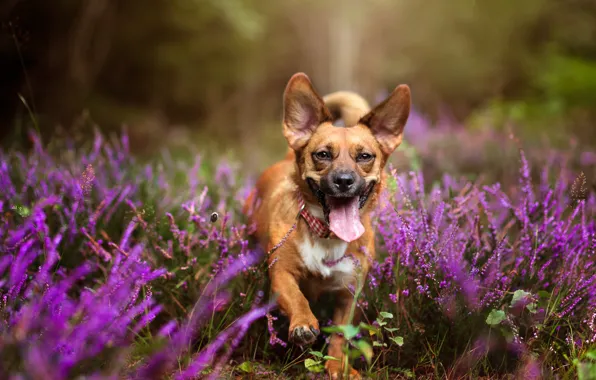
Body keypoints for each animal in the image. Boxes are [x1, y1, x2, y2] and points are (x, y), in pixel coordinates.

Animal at [242, 72, 410, 378]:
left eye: (365, 156)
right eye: (322, 154)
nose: (344, 180)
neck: (327, 235)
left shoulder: (348, 293)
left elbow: (340, 336)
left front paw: (337, 366)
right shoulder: (281, 273)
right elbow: (296, 297)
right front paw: (303, 323)